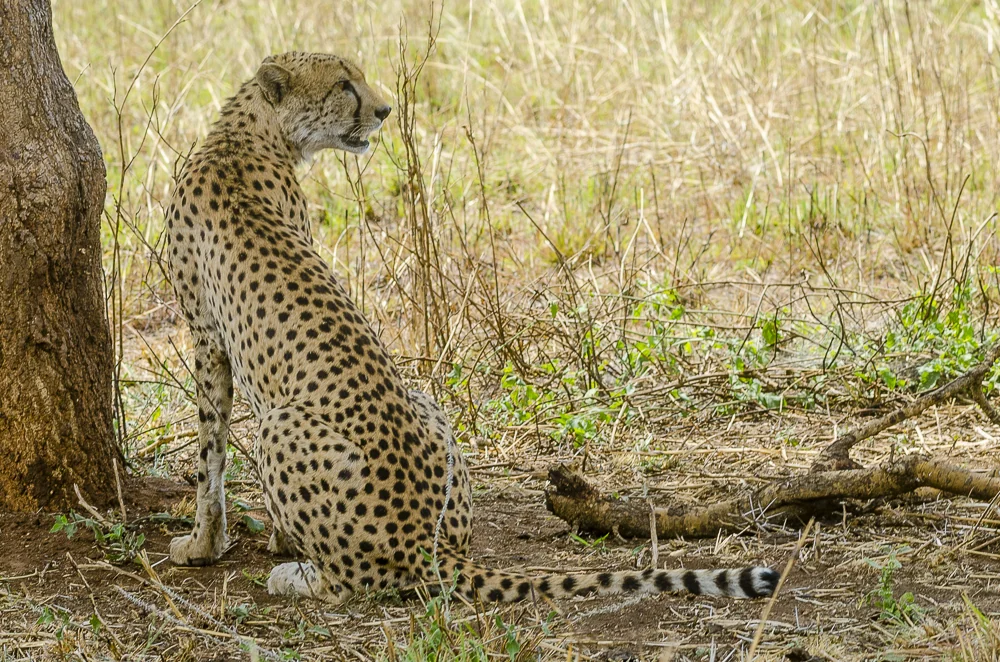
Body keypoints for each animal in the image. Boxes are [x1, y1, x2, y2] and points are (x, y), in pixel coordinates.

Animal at [165, 51, 779, 604]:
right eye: (343, 83)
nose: (384, 110)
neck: (246, 135)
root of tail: (427, 542)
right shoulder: (209, 333)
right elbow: (212, 453)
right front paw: (252, 538)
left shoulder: (206, 338)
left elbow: (209, 456)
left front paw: (204, 545)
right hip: (423, 406)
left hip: (280, 426)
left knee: (349, 584)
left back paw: (295, 576)